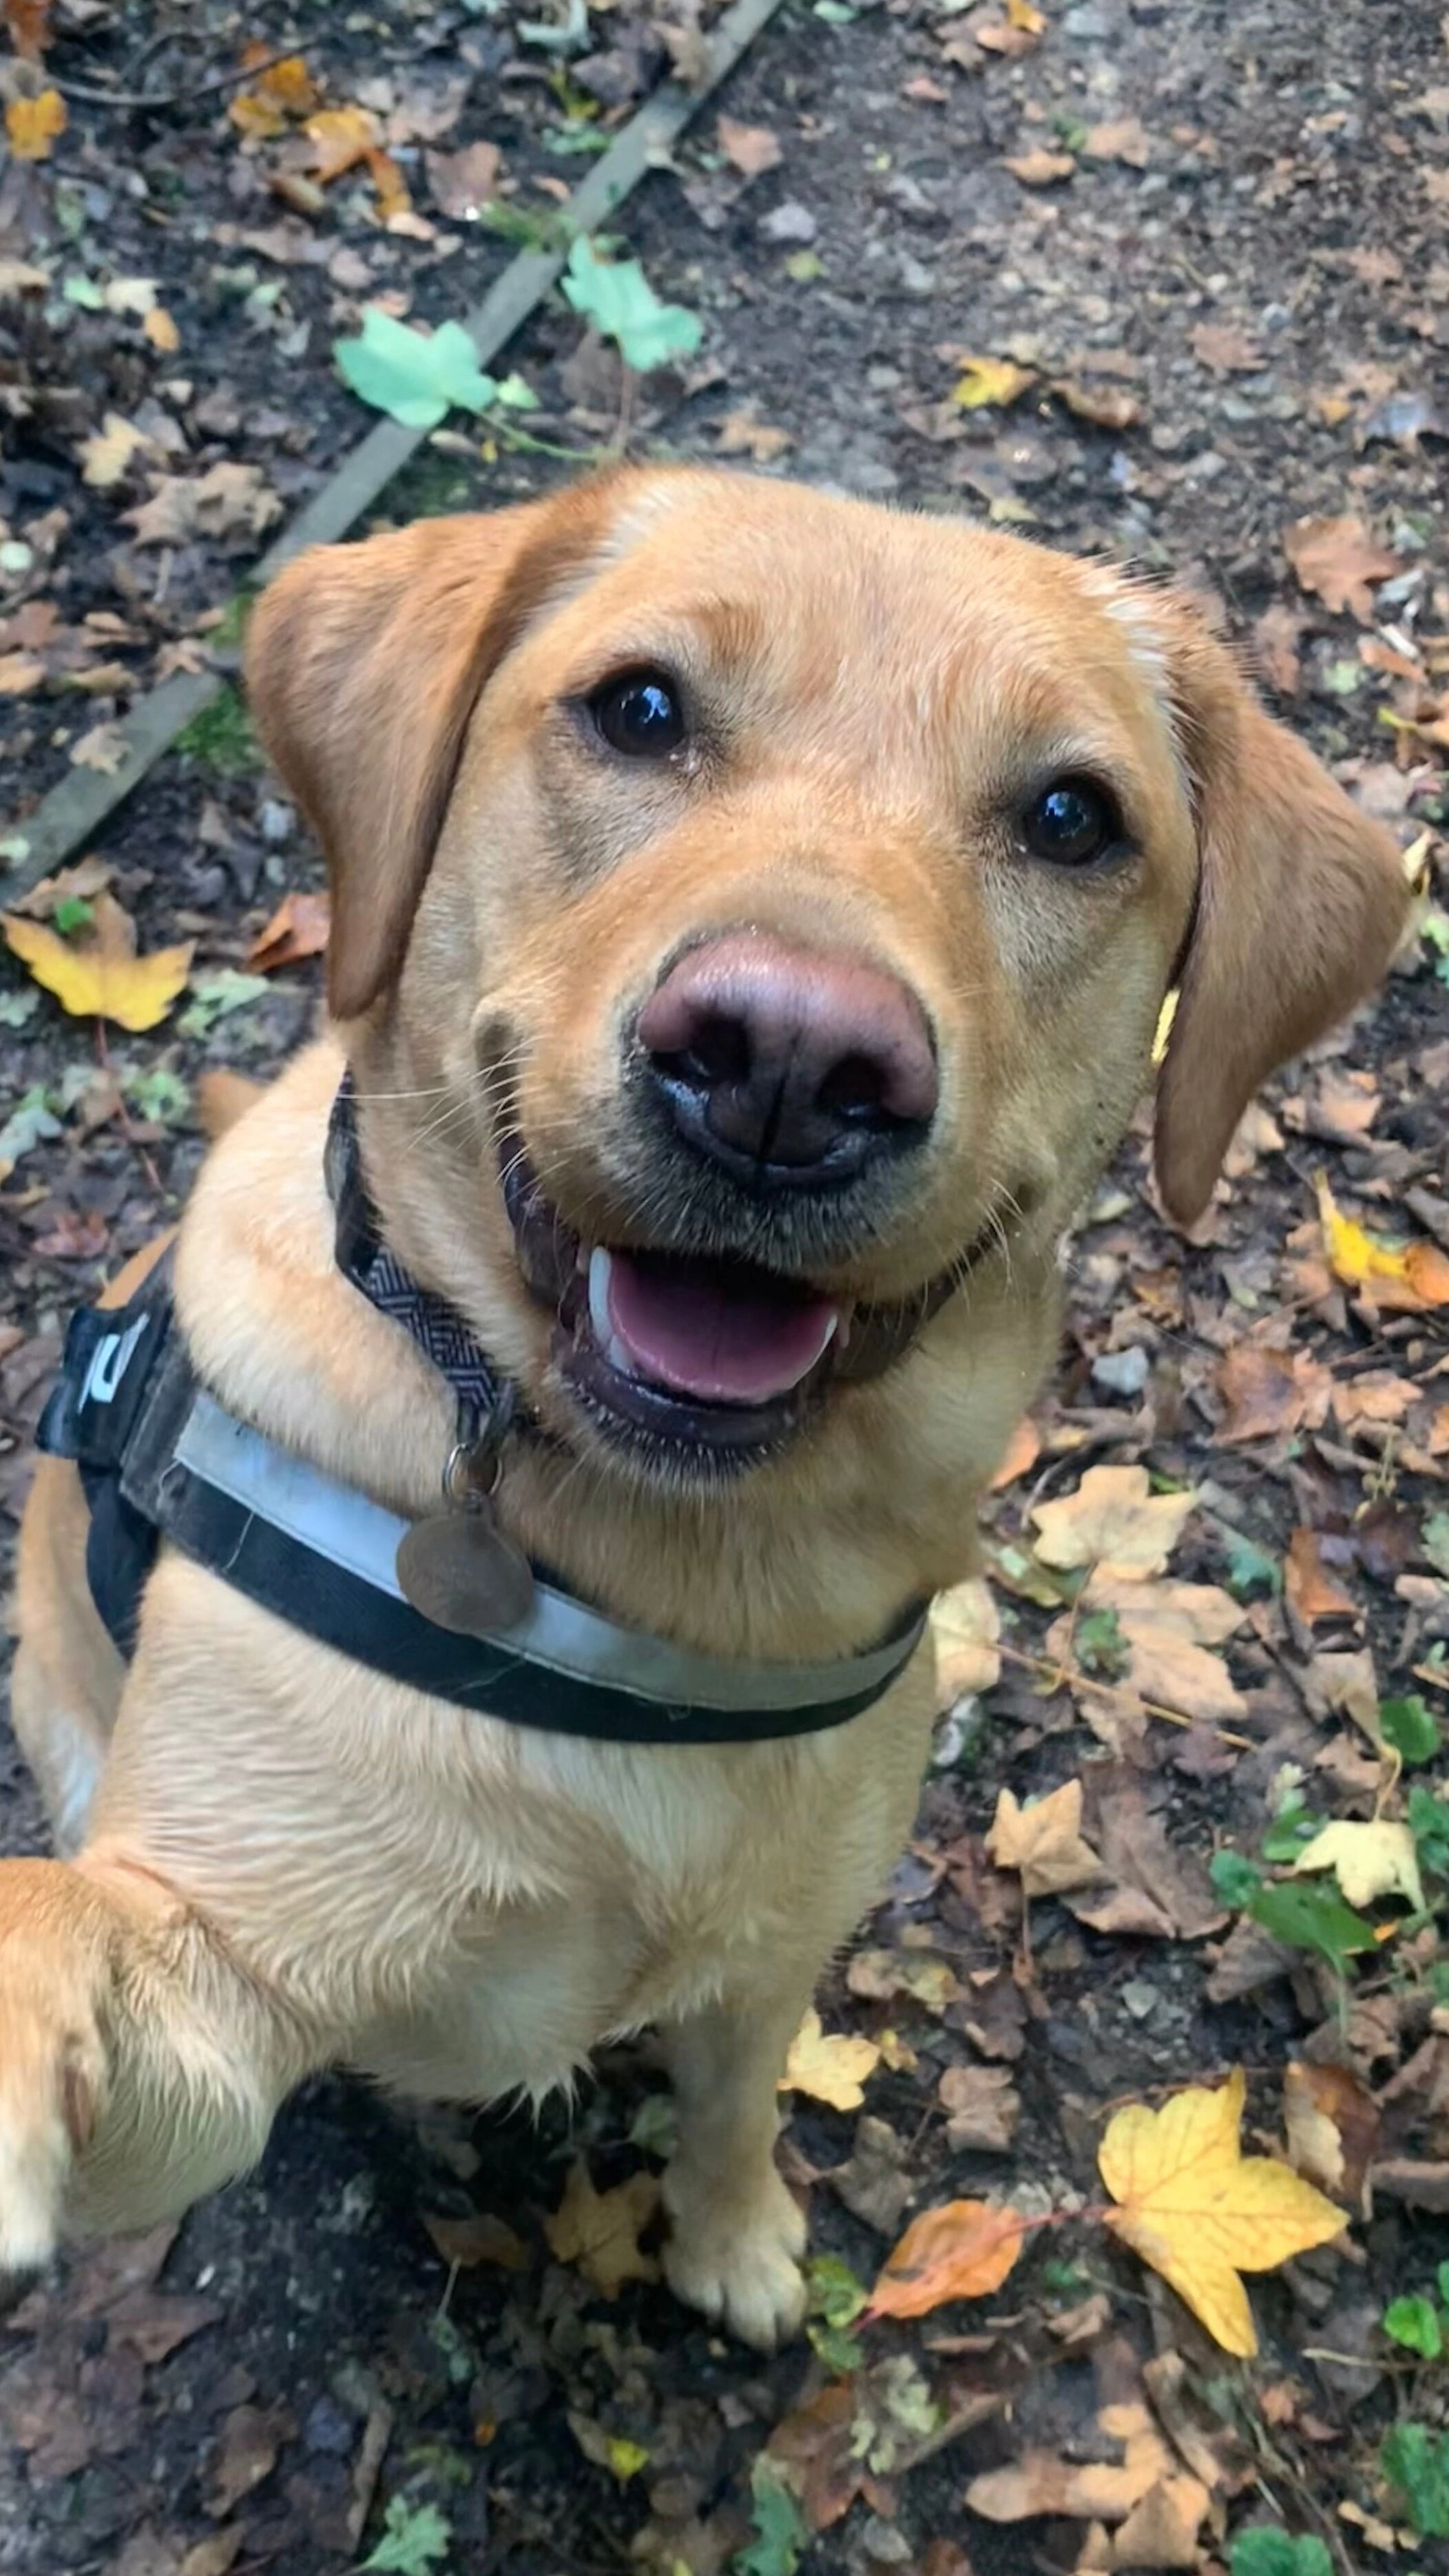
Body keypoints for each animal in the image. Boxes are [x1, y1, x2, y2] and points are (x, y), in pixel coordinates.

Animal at [0, 468, 1402, 2359]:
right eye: (639, 709)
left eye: (1067, 815)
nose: (789, 1066)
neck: (673, 1565)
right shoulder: (225, 1981)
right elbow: (59, 1932)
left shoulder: (783, 1945)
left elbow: (736, 2102)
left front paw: (732, 2241)